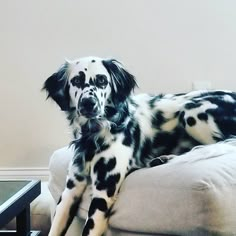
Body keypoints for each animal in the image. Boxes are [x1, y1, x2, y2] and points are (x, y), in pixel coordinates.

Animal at [43, 56, 236, 235]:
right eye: (76, 81)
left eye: (102, 81)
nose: (88, 104)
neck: (92, 136)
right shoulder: (70, 191)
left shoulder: (102, 194)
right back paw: (163, 159)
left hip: (191, 112)